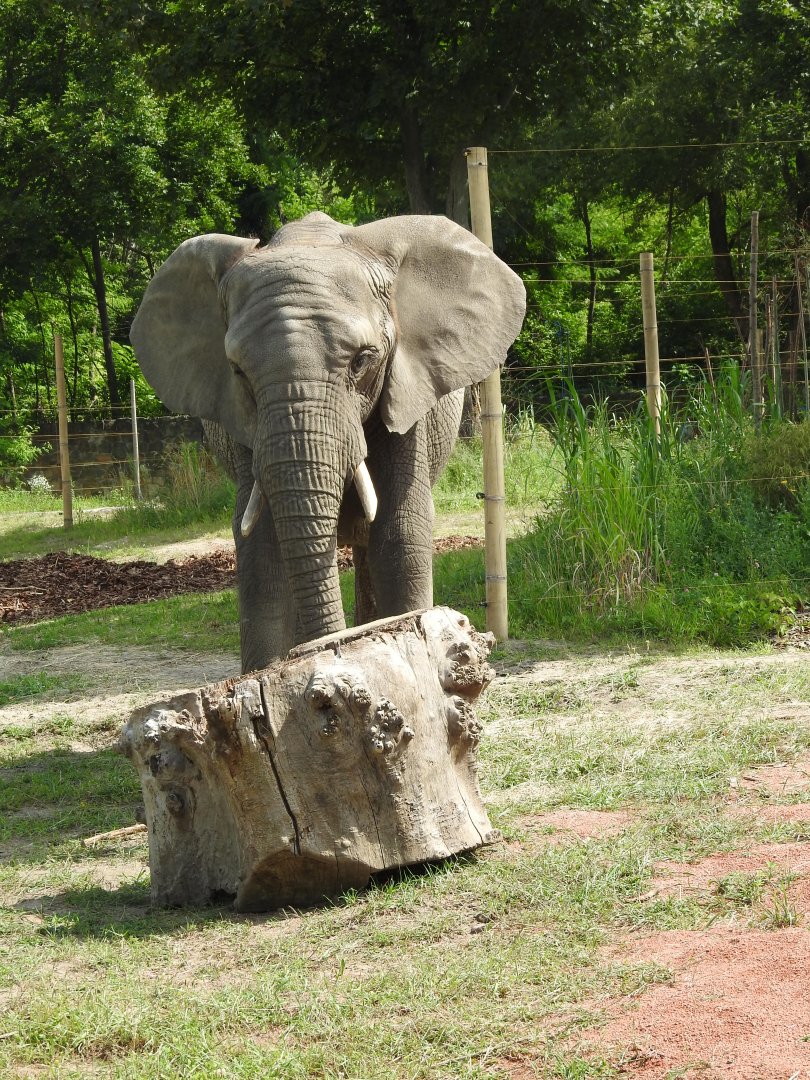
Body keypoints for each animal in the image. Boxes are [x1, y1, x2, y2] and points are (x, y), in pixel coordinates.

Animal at [130, 212, 525, 673]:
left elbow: (400, 531)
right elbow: (260, 546)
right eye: (238, 371)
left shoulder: (409, 396)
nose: (329, 653)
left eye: (363, 361)